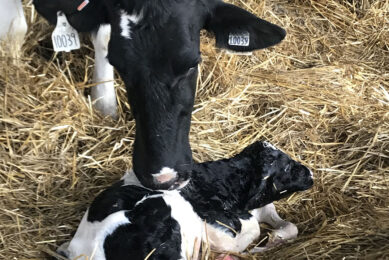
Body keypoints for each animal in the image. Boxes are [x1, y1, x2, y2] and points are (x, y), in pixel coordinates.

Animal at [56, 141, 312, 258]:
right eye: (287, 166)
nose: (310, 173)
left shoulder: (261, 208)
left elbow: (291, 226)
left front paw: (276, 238)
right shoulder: (215, 226)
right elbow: (251, 233)